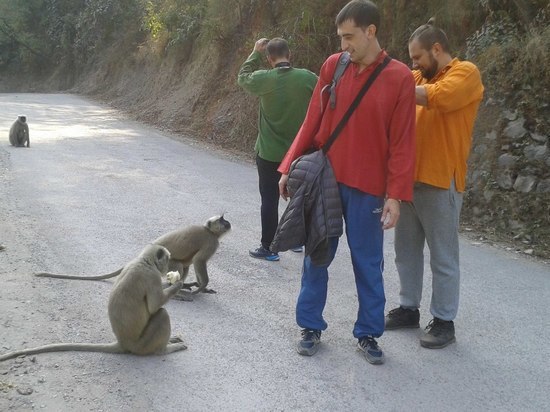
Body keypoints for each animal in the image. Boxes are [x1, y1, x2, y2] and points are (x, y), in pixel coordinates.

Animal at [0, 245, 188, 360]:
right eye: (167, 259)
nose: (168, 267)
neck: (144, 261)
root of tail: (123, 342)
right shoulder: (151, 276)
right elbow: (155, 305)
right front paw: (178, 284)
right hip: (142, 345)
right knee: (162, 314)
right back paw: (164, 350)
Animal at [34, 216, 233, 300]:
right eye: (222, 220)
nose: (228, 222)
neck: (208, 230)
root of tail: (144, 253)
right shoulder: (211, 241)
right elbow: (200, 261)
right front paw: (201, 288)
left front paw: (199, 288)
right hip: (167, 263)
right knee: (180, 265)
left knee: (185, 265)